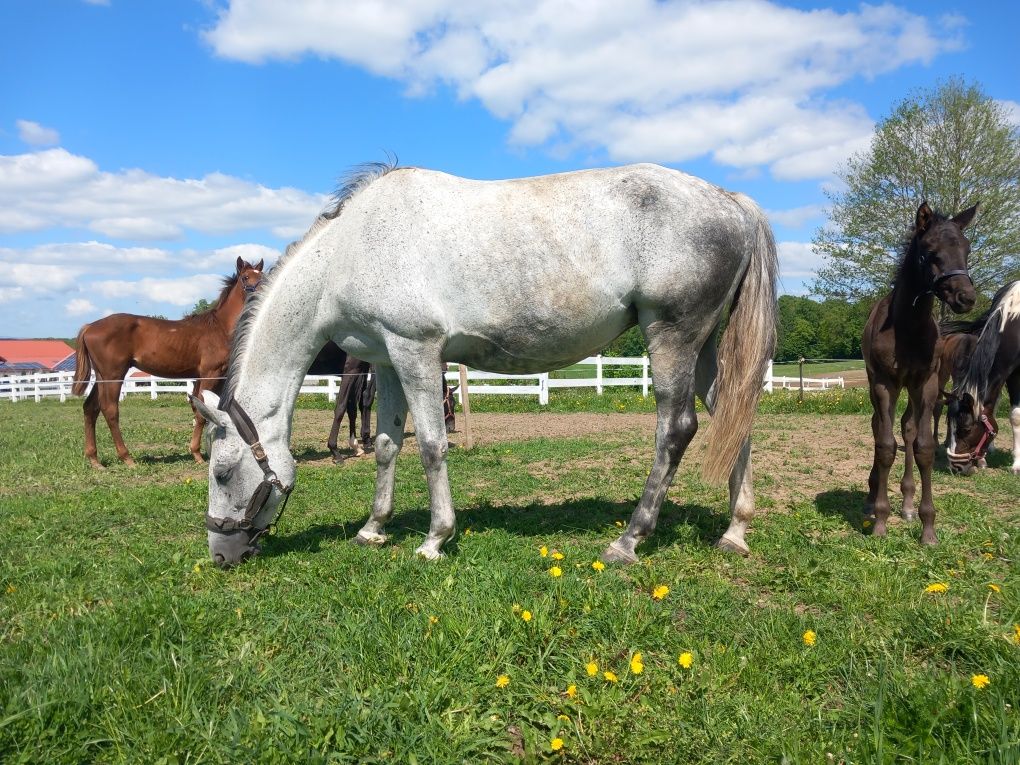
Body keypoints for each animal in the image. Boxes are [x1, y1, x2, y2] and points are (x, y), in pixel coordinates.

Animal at [73, 259, 265, 467]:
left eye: (262, 275)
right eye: (246, 277)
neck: (220, 327)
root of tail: (90, 326)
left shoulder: (208, 377)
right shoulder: (211, 373)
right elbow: (202, 412)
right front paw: (198, 454)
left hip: (101, 377)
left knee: (90, 408)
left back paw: (95, 460)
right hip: (113, 375)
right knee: (110, 410)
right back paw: (127, 458)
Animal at [191, 162, 775, 571]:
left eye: (221, 471)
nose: (220, 553)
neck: (351, 250)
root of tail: (733, 203)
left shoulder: (416, 351)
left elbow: (431, 445)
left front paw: (434, 539)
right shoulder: (385, 360)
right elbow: (386, 445)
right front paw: (373, 528)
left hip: (671, 335)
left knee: (676, 429)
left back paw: (628, 540)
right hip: (702, 347)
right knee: (734, 417)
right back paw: (735, 532)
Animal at [864, 201, 975, 546]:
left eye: (966, 248)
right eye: (929, 252)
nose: (966, 298)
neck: (909, 327)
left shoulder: (925, 383)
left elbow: (924, 447)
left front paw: (928, 528)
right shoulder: (885, 383)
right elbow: (886, 446)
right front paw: (880, 521)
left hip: (913, 389)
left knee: (908, 428)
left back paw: (908, 503)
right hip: (878, 385)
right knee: (879, 427)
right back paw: (873, 496)